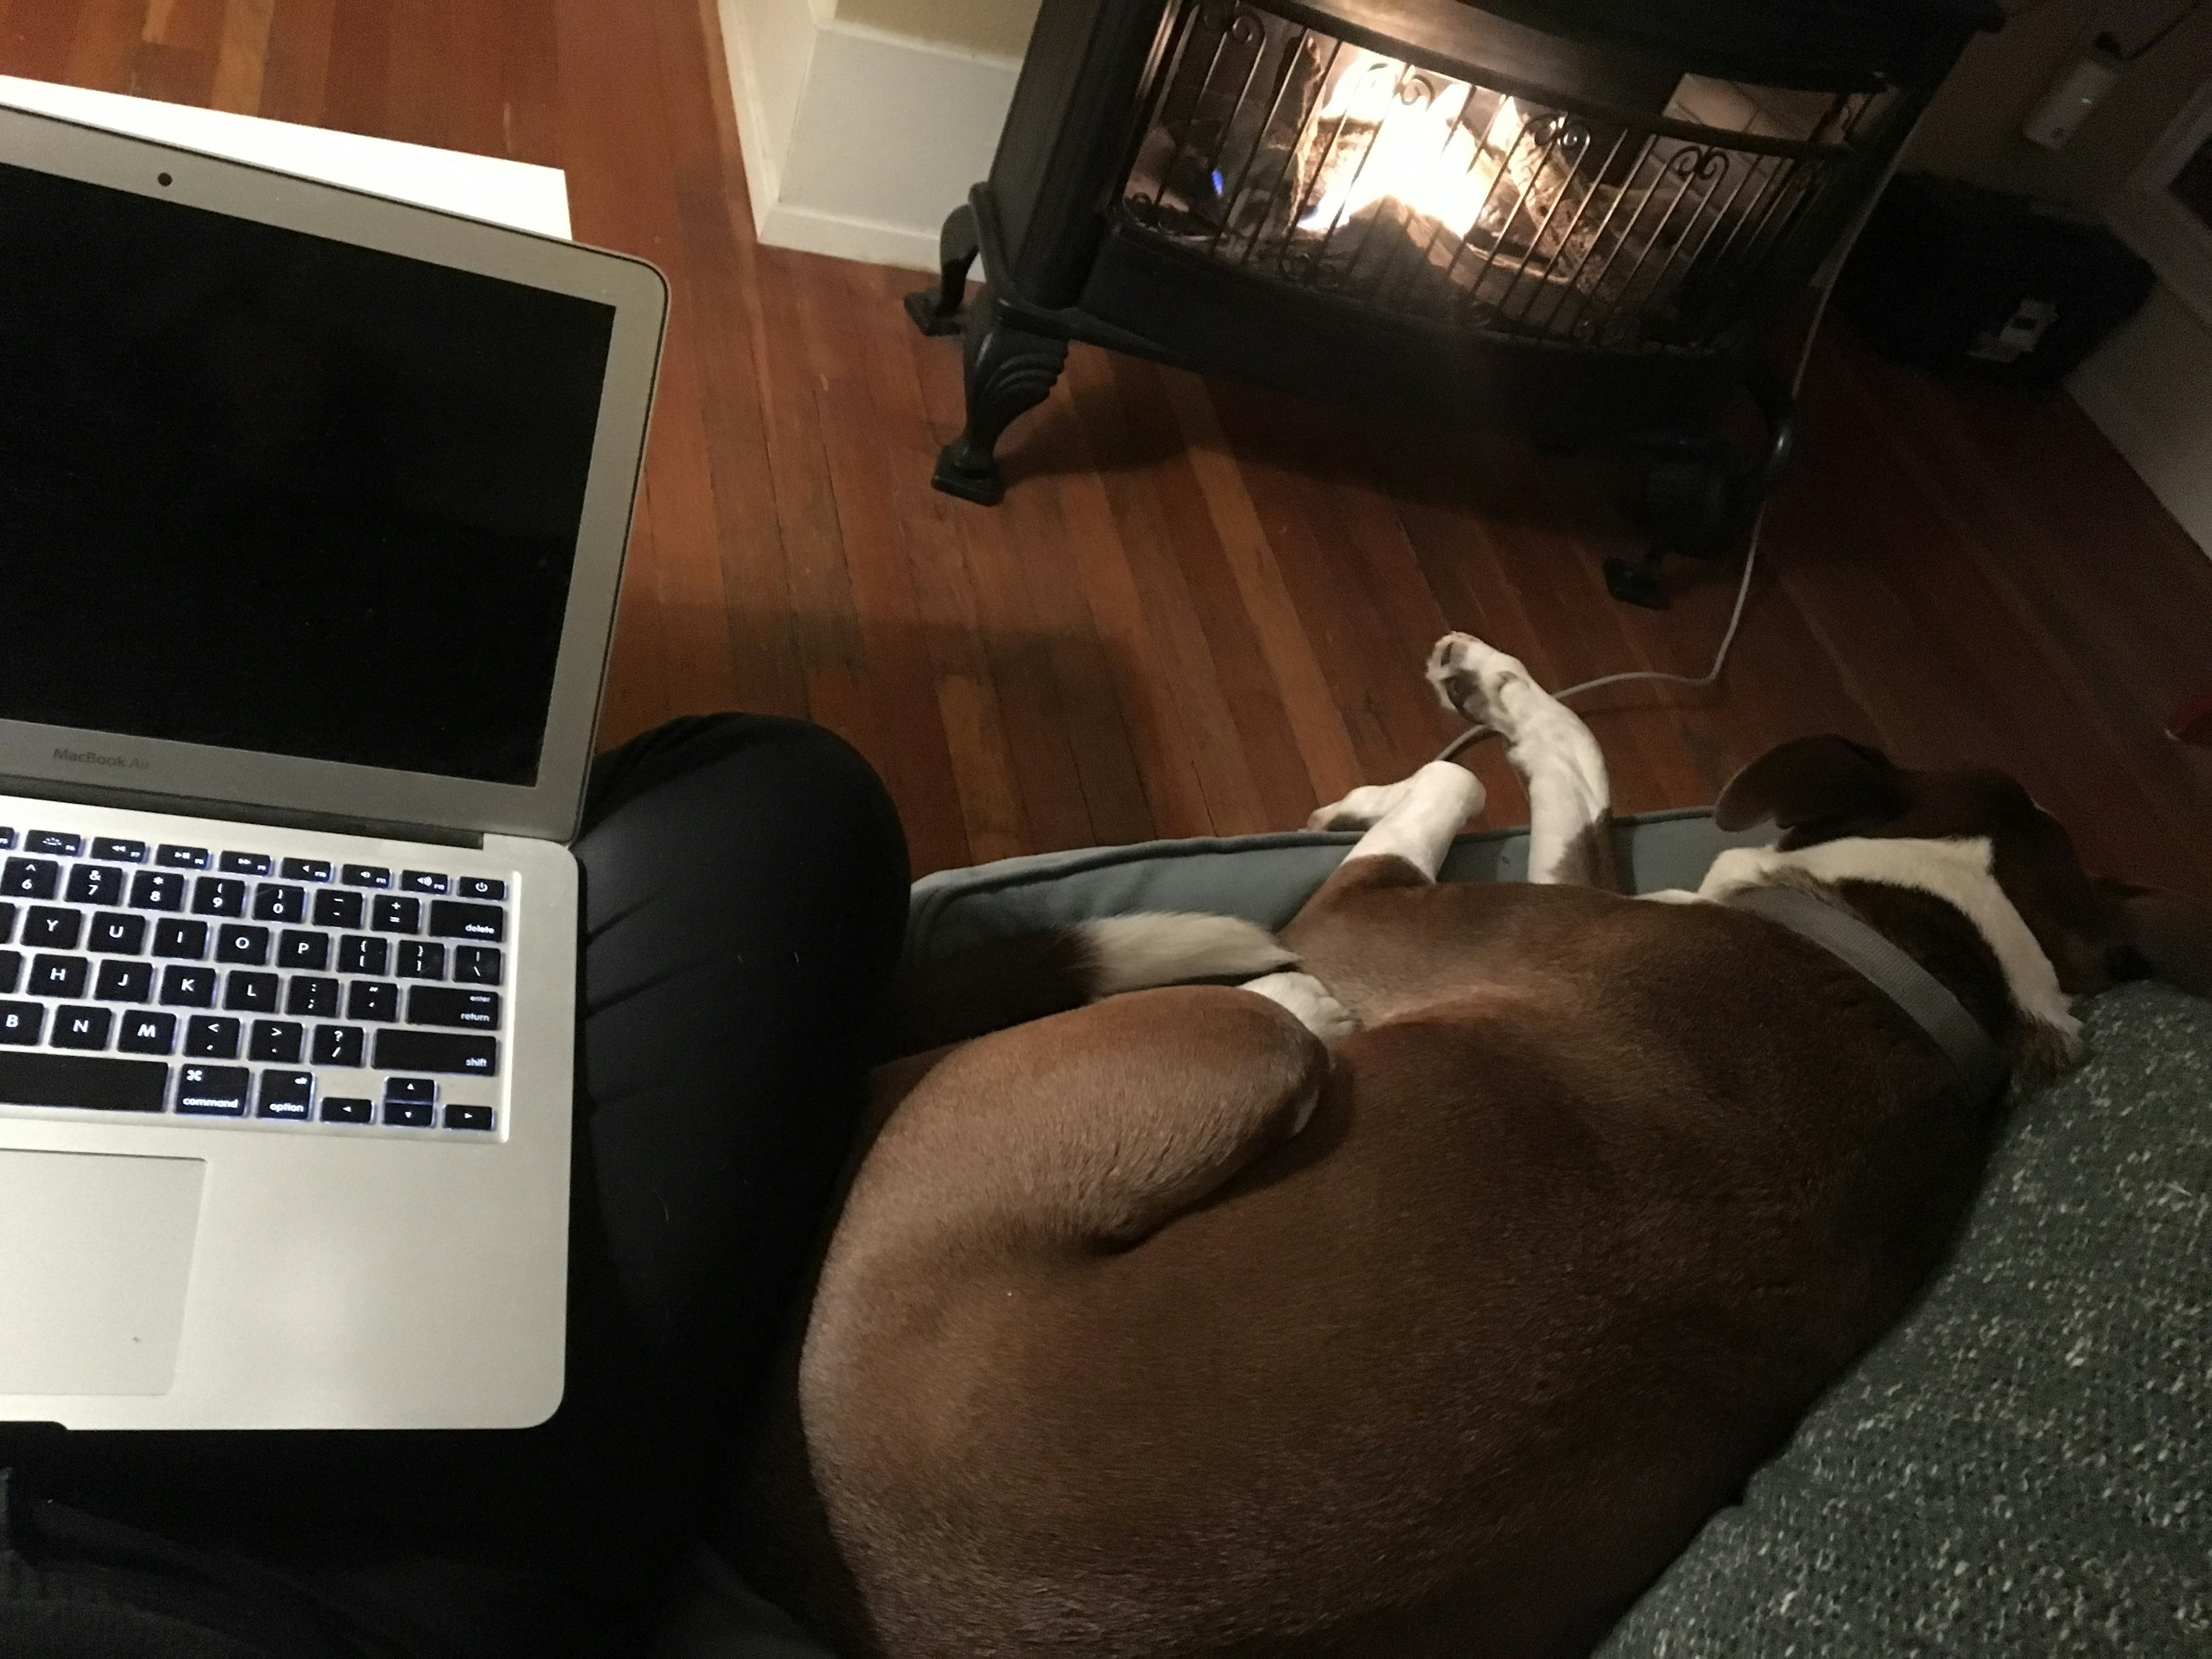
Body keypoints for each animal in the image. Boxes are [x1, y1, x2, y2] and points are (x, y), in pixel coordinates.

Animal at [743, 632, 2212, 1659]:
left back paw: (1299, 998)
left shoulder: (1384, 924)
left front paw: (1447, 712)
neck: (1924, 956)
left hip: (1178, 1061)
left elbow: (1466, 776)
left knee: (1283, 1015)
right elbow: (1578, 786)